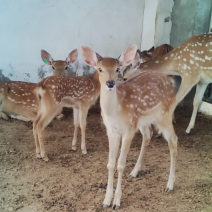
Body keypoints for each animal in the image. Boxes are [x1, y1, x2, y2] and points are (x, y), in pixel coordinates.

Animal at [80, 44, 177, 209]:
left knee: (173, 140)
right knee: (148, 134)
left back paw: (170, 185)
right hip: (143, 120)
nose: (110, 83)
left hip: (164, 115)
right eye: (100, 69)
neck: (116, 112)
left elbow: (120, 164)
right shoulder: (111, 130)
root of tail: (169, 82)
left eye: (117, 69)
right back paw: (134, 172)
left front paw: (117, 202)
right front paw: (106, 200)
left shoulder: (128, 130)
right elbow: (110, 163)